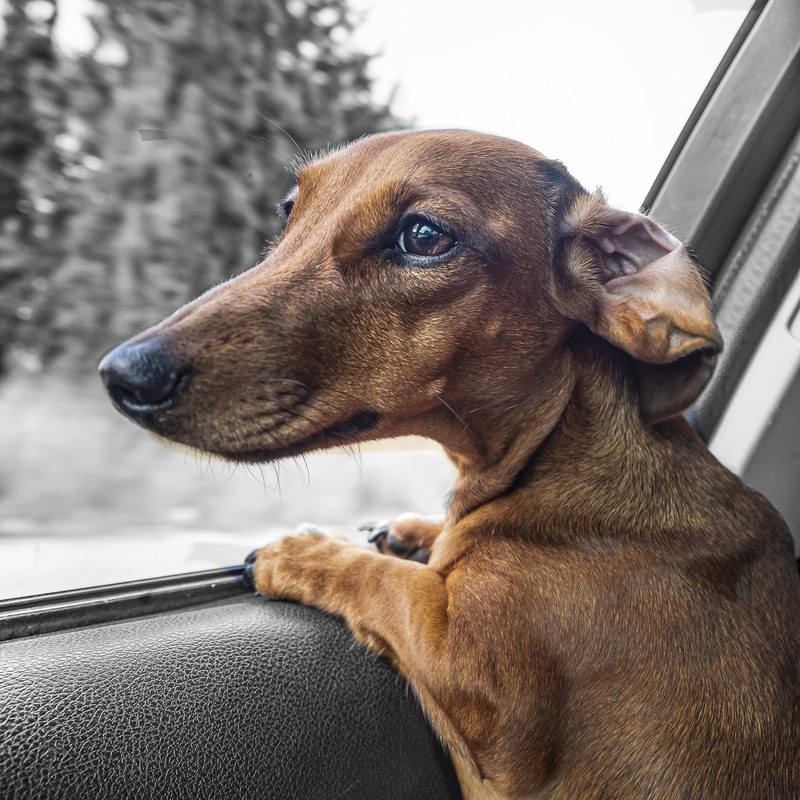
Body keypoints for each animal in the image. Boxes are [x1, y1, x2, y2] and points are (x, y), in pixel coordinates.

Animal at [100, 133, 800, 800]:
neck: (551, 454)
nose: (123, 374)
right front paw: (413, 531)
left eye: (424, 236)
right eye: (289, 210)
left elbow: (386, 583)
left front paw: (308, 551)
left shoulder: (478, 683)